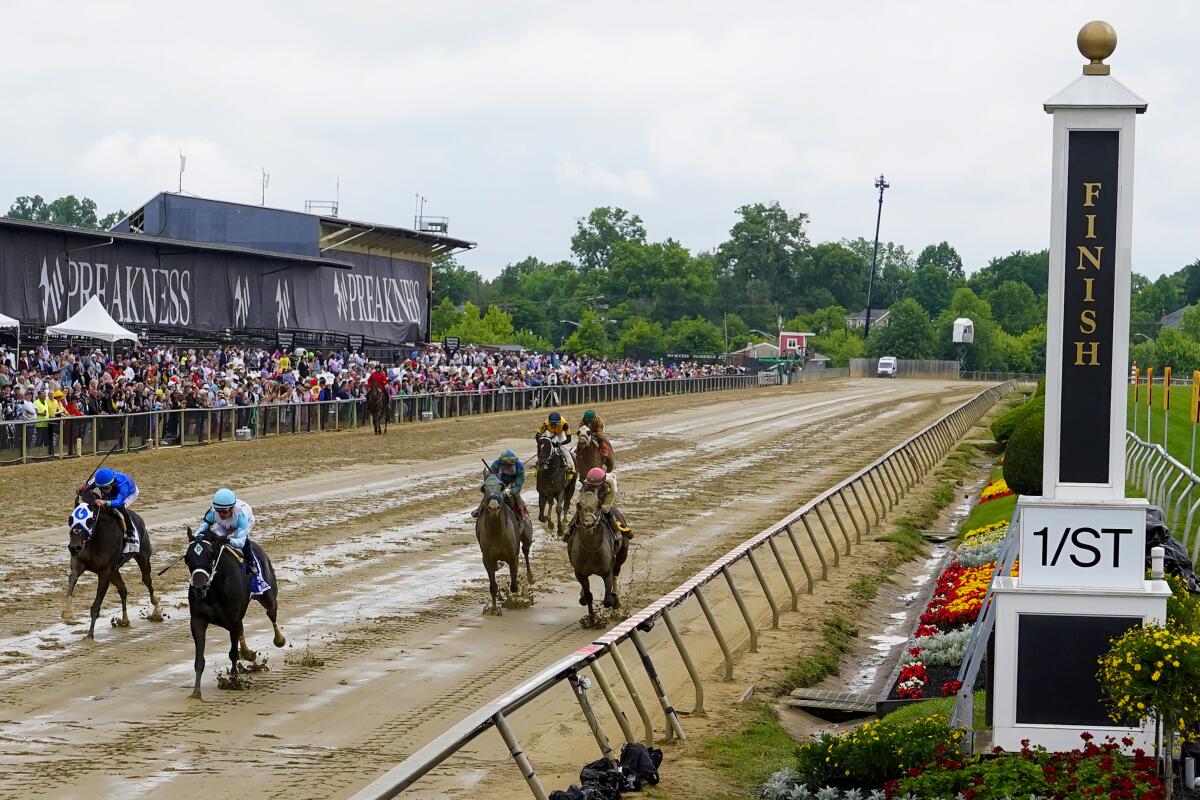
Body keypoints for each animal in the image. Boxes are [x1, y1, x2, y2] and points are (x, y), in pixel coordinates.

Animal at [66, 491, 159, 642]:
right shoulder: (79, 563)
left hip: (143, 559)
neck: (96, 539)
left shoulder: (105, 572)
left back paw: (156, 608)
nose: (74, 547)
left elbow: (96, 606)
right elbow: (72, 580)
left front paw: (90, 635)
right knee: (123, 589)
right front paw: (67, 612)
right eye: (70, 519)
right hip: (115, 571)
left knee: (147, 580)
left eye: (89, 520)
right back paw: (124, 620)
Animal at [183, 527, 284, 695]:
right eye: (188, 558)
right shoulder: (198, 620)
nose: (199, 588)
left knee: (272, 613)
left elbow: (233, 653)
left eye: (210, 555)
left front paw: (235, 681)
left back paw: (279, 639)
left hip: (268, 597)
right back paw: (248, 653)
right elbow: (199, 660)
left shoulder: (233, 619)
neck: (215, 590)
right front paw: (196, 692)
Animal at [475, 474, 532, 614]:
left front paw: (517, 599)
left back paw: (530, 576)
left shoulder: (513, 558)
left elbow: (514, 585)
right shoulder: (488, 559)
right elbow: (493, 586)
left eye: (501, 487)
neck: (497, 533)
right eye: (484, 489)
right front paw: (494, 609)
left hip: (527, 532)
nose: (494, 507)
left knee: (526, 550)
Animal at [568, 489, 633, 623]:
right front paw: (592, 620)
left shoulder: (607, 572)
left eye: (597, 506)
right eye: (580, 506)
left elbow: (607, 600)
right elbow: (588, 596)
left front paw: (614, 601)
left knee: (617, 571)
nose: (588, 524)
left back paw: (616, 595)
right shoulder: (579, 573)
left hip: (622, 555)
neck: (591, 550)